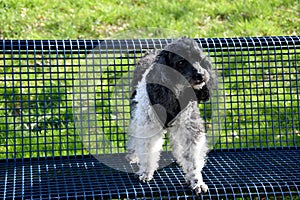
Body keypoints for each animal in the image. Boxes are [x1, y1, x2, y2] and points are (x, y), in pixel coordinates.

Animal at [126, 37, 216, 194]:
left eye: (199, 59)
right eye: (180, 62)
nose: (201, 75)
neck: (175, 92)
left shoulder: (189, 127)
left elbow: (193, 157)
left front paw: (196, 181)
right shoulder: (148, 124)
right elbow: (148, 149)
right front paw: (146, 172)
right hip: (136, 112)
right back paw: (133, 155)